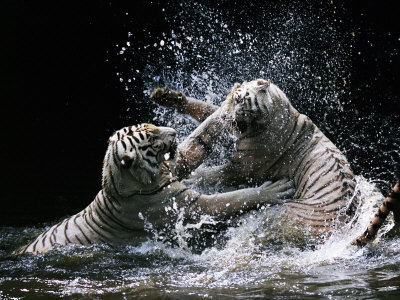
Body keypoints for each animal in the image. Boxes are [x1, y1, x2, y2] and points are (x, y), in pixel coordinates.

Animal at [14, 123, 294, 254]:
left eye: (154, 126)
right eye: (152, 137)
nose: (175, 131)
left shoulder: (174, 167)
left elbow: (200, 137)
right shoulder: (187, 205)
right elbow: (233, 198)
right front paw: (275, 190)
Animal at [151, 79, 400, 239]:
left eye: (246, 111)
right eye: (239, 101)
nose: (232, 119)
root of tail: (346, 228)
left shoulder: (240, 168)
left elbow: (211, 173)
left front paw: (189, 180)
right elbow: (207, 110)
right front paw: (168, 96)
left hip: (278, 213)